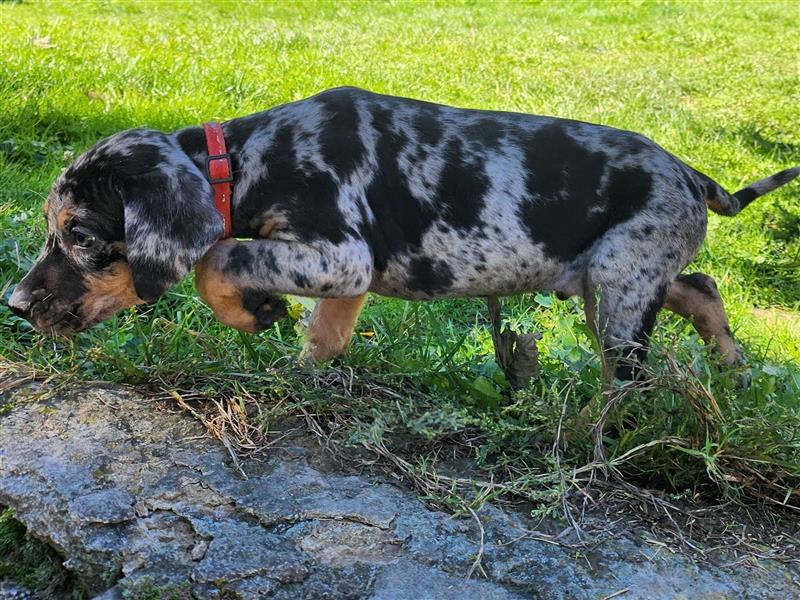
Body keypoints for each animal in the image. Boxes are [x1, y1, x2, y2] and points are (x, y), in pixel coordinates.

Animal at [7, 88, 800, 380]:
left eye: (80, 235)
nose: (12, 305)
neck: (249, 160)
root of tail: (693, 176)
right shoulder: (346, 274)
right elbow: (326, 333)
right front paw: (304, 376)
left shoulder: (340, 251)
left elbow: (217, 257)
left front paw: (256, 311)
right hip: (614, 275)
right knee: (702, 286)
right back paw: (732, 365)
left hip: (620, 283)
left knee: (629, 371)